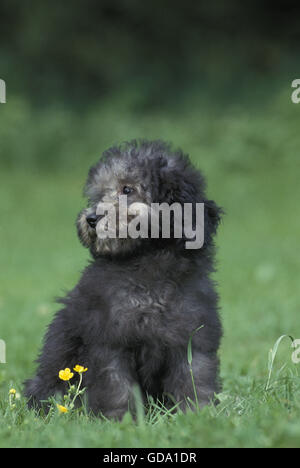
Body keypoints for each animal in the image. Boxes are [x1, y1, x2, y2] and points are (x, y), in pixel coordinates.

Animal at [24, 140, 223, 420]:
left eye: (127, 189)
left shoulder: (191, 338)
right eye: (99, 194)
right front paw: (121, 421)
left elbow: (195, 381)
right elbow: (116, 387)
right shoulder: (110, 341)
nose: (91, 218)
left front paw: (199, 415)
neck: (147, 263)